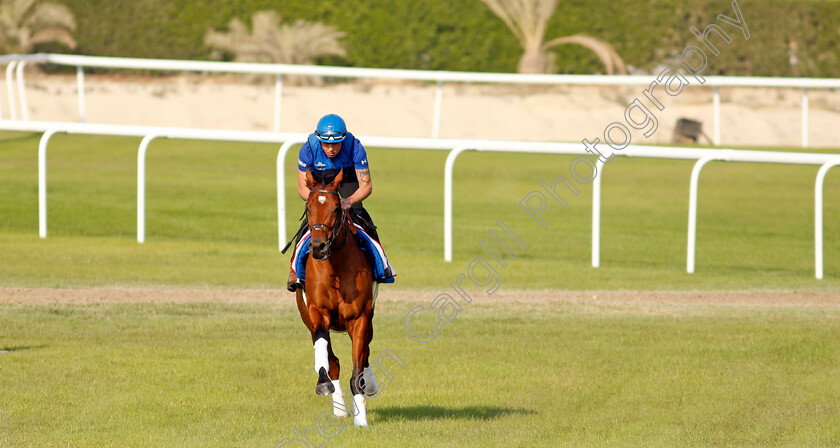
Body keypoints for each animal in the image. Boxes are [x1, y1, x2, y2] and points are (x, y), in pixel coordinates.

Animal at [292, 168, 378, 428]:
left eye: (337, 208)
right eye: (308, 207)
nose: (318, 247)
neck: (336, 267)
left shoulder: (360, 317)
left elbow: (358, 367)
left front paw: (361, 418)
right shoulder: (317, 313)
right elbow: (326, 356)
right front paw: (324, 385)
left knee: (366, 351)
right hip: (307, 318)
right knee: (334, 361)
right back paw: (339, 407)